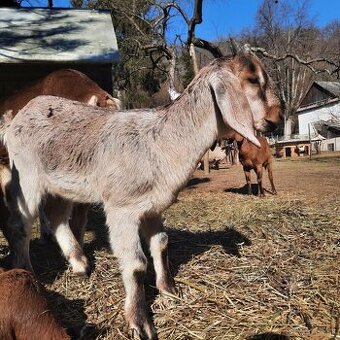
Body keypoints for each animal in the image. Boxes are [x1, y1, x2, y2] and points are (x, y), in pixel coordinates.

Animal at [2, 51, 282, 338]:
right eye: (253, 79)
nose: (277, 119)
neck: (161, 142)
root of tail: (17, 119)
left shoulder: (152, 207)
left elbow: (161, 244)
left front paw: (169, 289)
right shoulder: (121, 209)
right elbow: (136, 264)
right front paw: (140, 321)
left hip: (61, 183)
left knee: (56, 215)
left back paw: (80, 263)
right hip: (27, 175)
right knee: (20, 224)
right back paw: (27, 270)